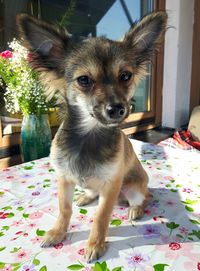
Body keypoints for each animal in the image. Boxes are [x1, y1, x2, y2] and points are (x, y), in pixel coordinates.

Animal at [17, 11, 167, 264]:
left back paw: (135, 209)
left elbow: (101, 217)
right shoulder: (64, 178)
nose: (118, 109)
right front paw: (57, 232)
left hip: (134, 188)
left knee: (145, 197)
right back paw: (85, 197)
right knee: (90, 192)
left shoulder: (111, 185)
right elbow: (64, 209)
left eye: (125, 76)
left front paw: (95, 244)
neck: (88, 136)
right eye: (84, 80)